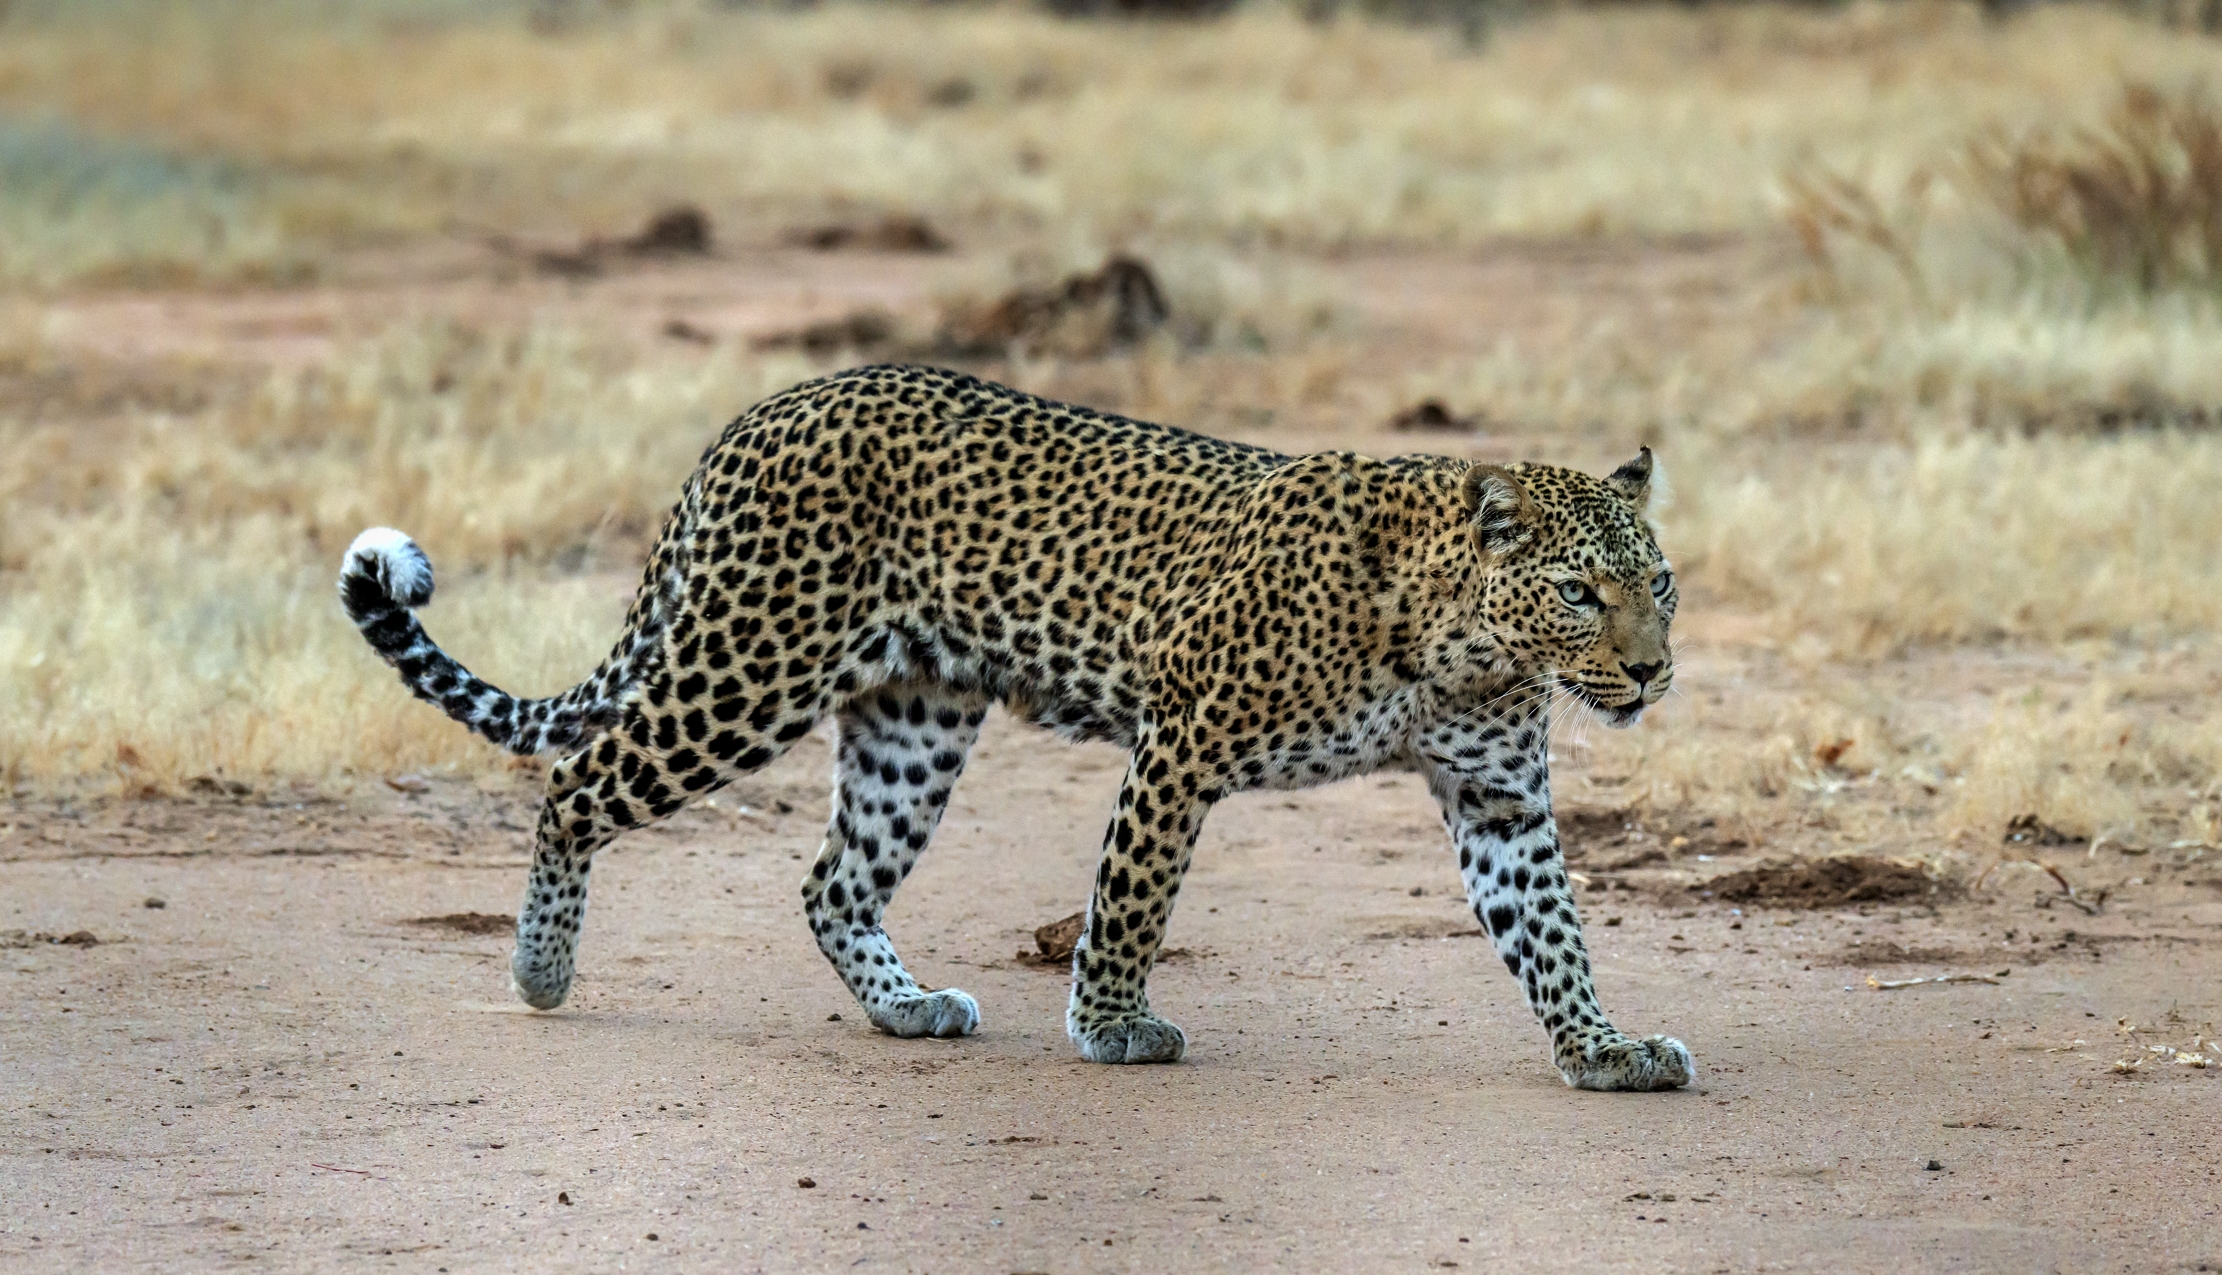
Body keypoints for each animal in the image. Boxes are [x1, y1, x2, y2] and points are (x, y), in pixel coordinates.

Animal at [339, 363, 1692, 1090]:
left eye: (1659, 582)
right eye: (1579, 591)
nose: (1652, 670)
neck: (1464, 651)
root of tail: (758, 413)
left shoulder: (1496, 797)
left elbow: (1550, 936)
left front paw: (1602, 1048)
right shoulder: (1182, 738)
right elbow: (1132, 899)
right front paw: (1111, 1027)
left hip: (912, 718)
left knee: (833, 879)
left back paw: (903, 1006)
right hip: (747, 668)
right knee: (575, 784)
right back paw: (540, 970)